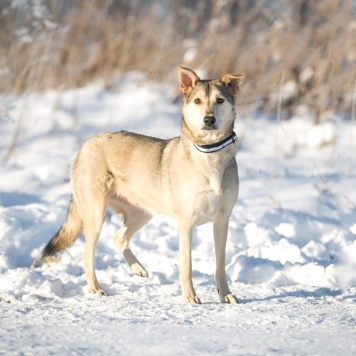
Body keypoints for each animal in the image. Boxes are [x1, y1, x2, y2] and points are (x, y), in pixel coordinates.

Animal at [32, 67, 245, 304]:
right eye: (198, 101)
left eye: (219, 100)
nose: (209, 120)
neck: (210, 155)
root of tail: (86, 144)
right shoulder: (186, 224)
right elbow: (186, 265)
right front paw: (190, 297)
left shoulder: (222, 222)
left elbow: (220, 266)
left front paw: (226, 295)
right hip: (96, 215)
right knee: (88, 255)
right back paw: (96, 289)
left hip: (142, 214)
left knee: (118, 238)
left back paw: (138, 269)